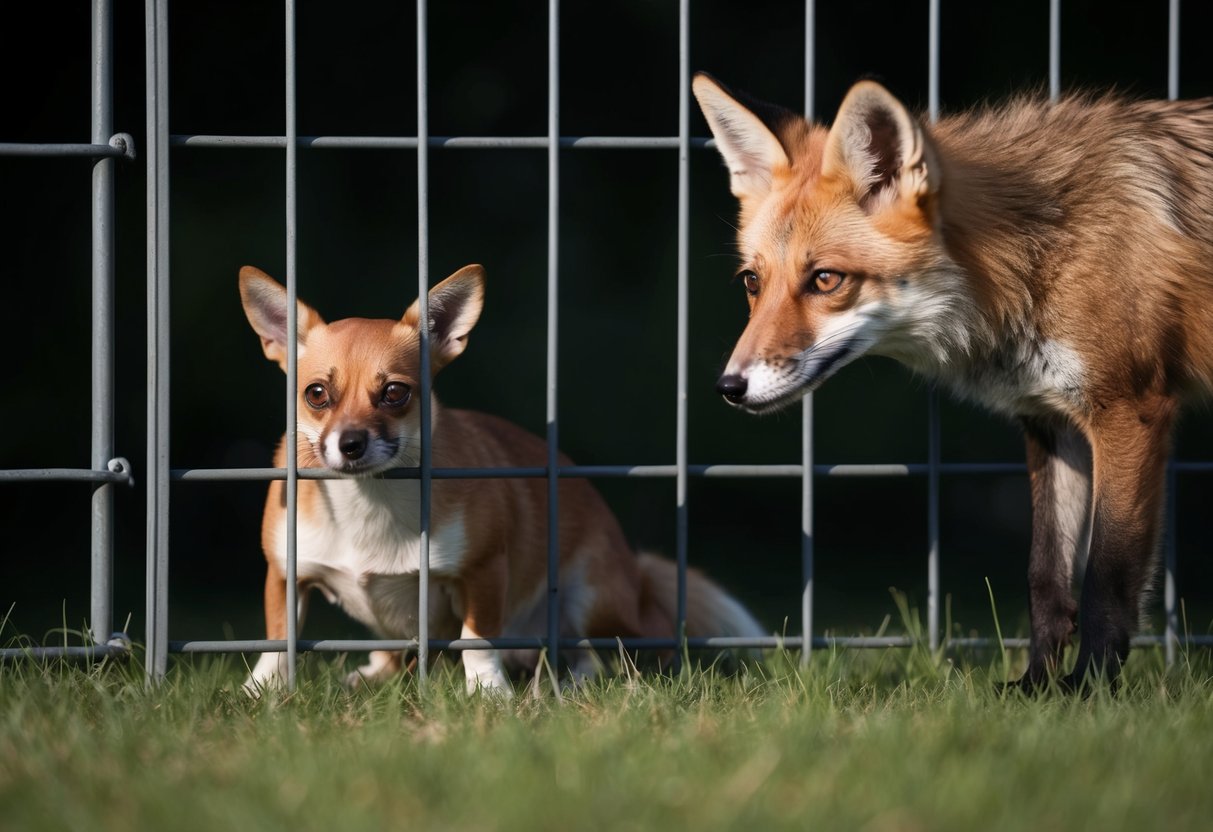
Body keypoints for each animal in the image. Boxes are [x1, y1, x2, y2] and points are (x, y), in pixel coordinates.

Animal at [238, 263, 765, 695]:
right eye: (316, 394)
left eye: (394, 393)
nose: (350, 443)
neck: (372, 499)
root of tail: (639, 585)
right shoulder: (285, 574)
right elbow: (278, 639)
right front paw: (259, 692)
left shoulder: (483, 571)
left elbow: (477, 639)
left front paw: (488, 693)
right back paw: (373, 674)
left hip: (589, 596)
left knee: (599, 657)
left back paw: (568, 683)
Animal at [692, 72, 1213, 691]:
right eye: (753, 282)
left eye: (825, 279)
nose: (730, 387)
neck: (1035, 252)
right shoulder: (1051, 422)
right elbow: (1046, 579)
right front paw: (1036, 689)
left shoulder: (1128, 410)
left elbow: (1105, 582)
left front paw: (1090, 689)